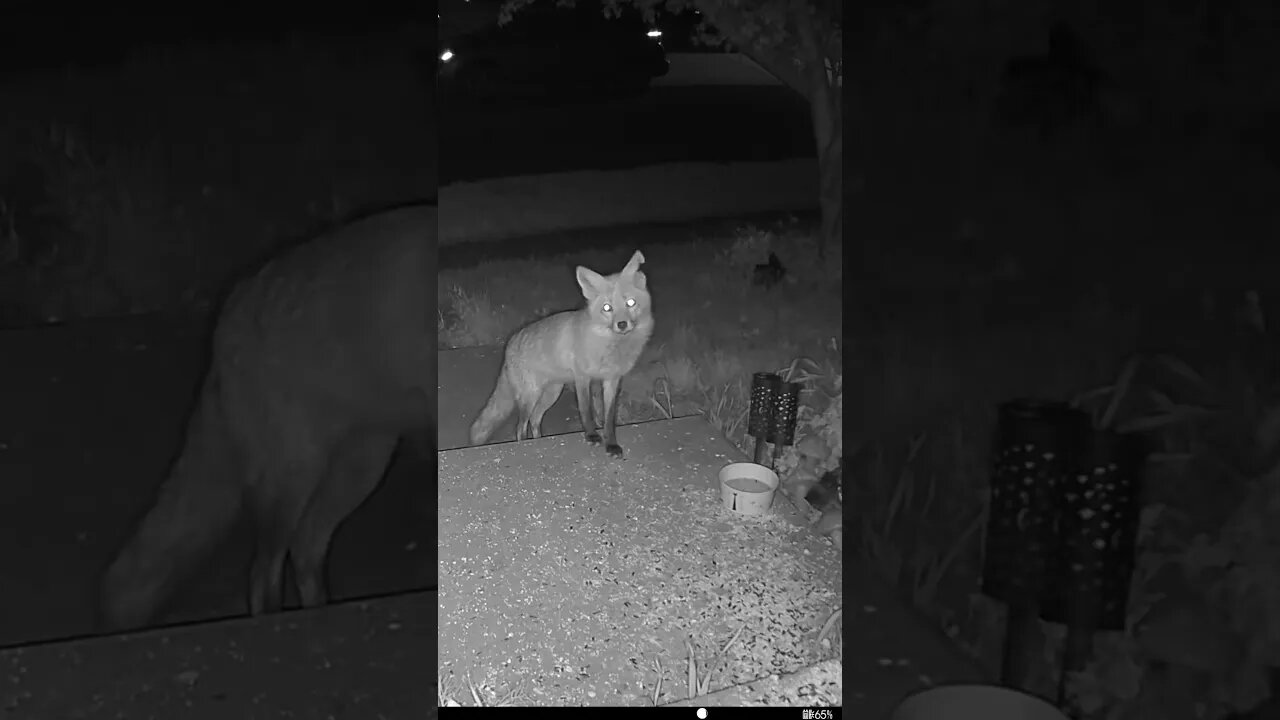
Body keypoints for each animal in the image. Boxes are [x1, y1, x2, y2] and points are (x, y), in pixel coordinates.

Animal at [98, 204, 435, 632]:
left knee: (305, 549)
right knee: (263, 573)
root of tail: (234, 305)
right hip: (293, 476)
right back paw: (277, 626)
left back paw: (320, 616)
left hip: (359, 468)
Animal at [468, 250, 653, 458]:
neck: (609, 345)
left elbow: (608, 419)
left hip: (551, 394)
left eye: (631, 303)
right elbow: (586, 411)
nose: (622, 324)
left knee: (535, 420)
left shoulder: (612, 381)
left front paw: (611, 444)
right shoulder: (583, 378)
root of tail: (511, 342)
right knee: (520, 426)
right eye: (607, 308)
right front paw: (591, 436)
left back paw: (539, 441)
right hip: (530, 395)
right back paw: (525, 446)